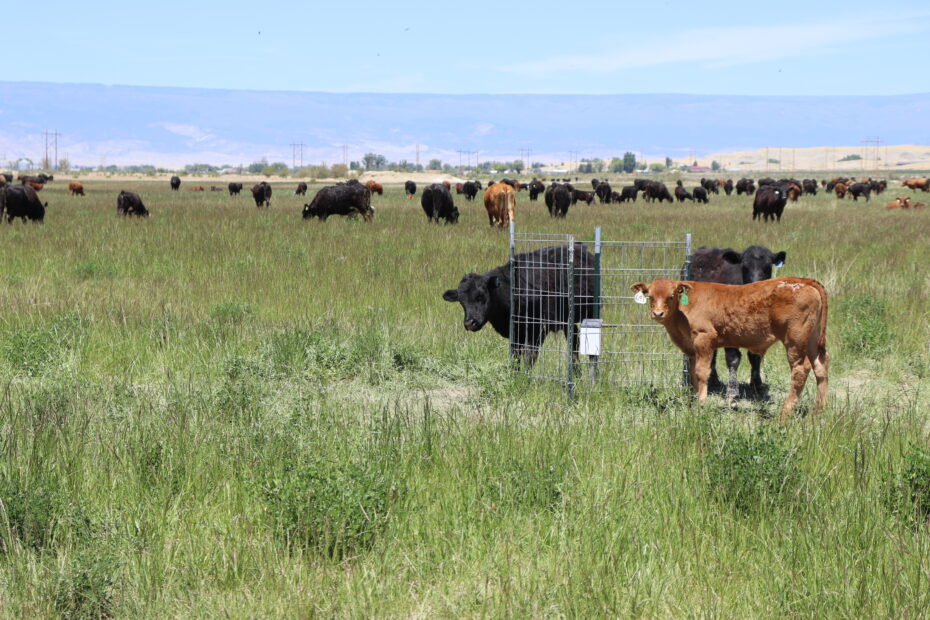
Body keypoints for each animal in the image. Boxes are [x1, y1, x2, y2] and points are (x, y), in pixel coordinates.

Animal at [442, 243, 596, 364]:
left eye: (481, 296)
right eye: (461, 302)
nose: (470, 323)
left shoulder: (537, 330)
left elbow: (530, 357)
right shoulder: (516, 333)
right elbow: (515, 356)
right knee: (574, 344)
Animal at [628, 278, 832, 418]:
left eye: (671, 296)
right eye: (650, 296)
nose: (658, 313)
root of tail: (801, 281)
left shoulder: (704, 338)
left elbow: (702, 372)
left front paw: (701, 405)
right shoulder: (692, 349)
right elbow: (693, 374)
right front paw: (694, 402)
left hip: (795, 340)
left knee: (801, 369)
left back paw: (784, 413)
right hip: (812, 339)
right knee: (820, 365)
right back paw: (819, 411)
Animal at [684, 247, 788, 402]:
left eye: (767, 267)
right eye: (744, 267)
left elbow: (755, 357)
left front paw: (757, 386)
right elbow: (733, 359)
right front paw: (732, 391)